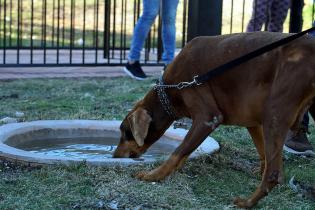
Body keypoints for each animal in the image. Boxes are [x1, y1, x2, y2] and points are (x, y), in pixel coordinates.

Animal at [113, 32, 315, 208]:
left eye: (125, 132)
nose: (114, 156)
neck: (172, 89)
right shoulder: (253, 123)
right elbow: (262, 152)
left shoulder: (207, 118)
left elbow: (178, 151)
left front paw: (154, 176)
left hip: (274, 114)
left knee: (273, 174)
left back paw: (247, 203)